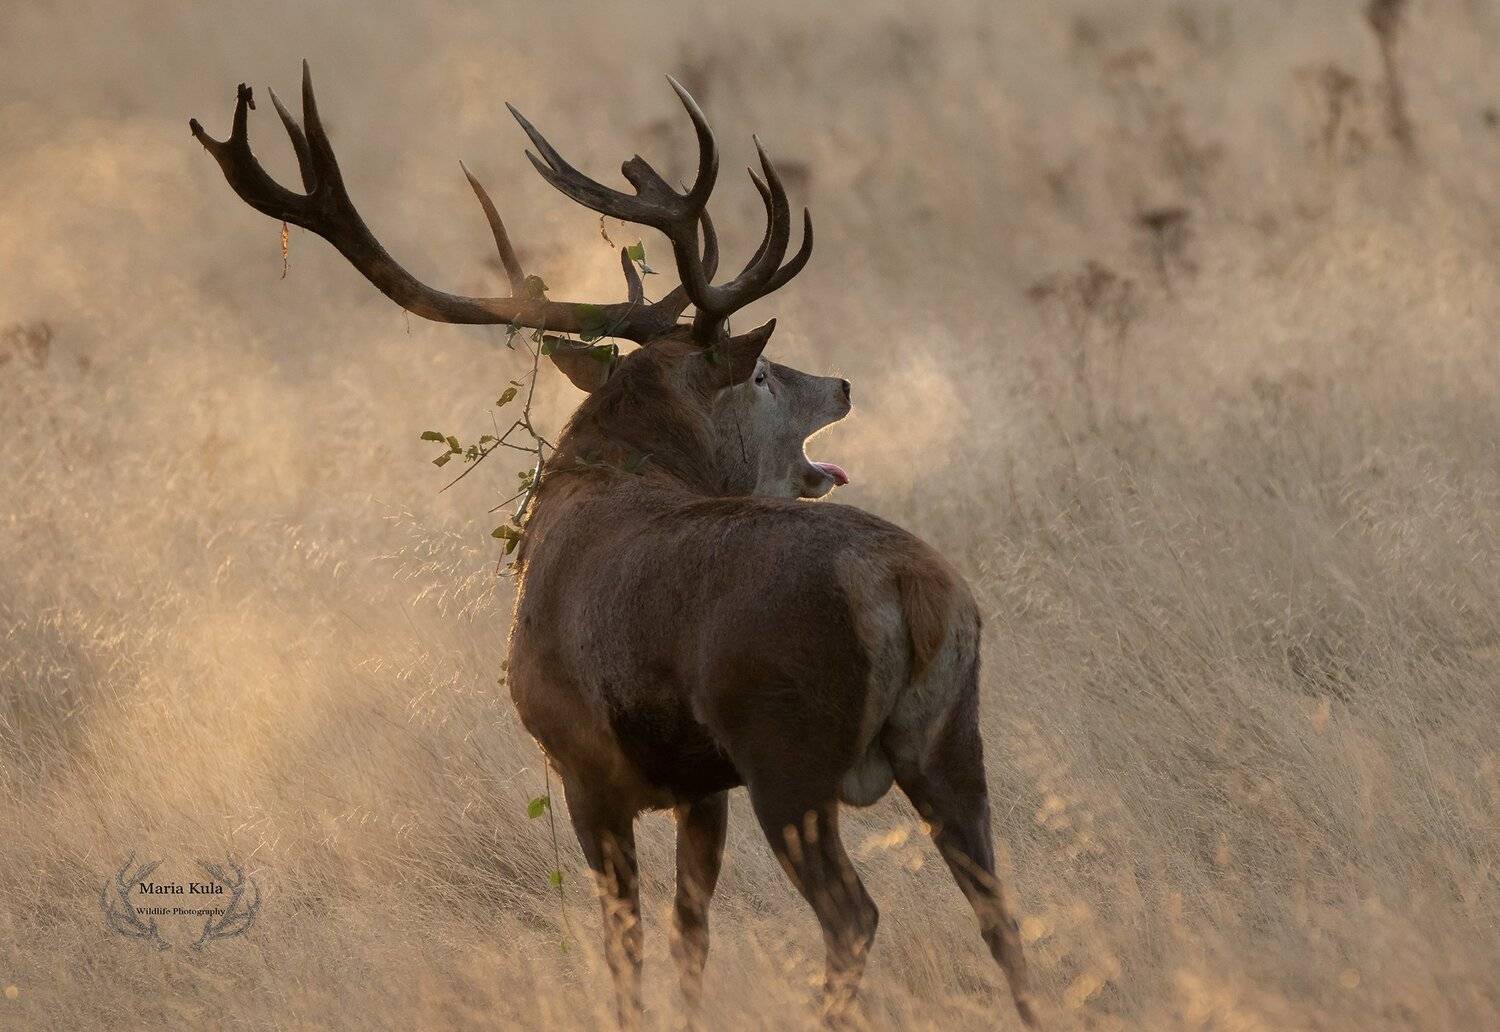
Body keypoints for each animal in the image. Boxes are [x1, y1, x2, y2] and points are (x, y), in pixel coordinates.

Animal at [191, 63, 1038, 1029]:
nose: (843, 382)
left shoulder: (581, 758)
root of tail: (902, 586)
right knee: (999, 908)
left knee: (854, 913)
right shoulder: (700, 785)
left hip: (786, 744)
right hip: (952, 736)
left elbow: (623, 944)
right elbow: (688, 933)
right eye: (763, 374)